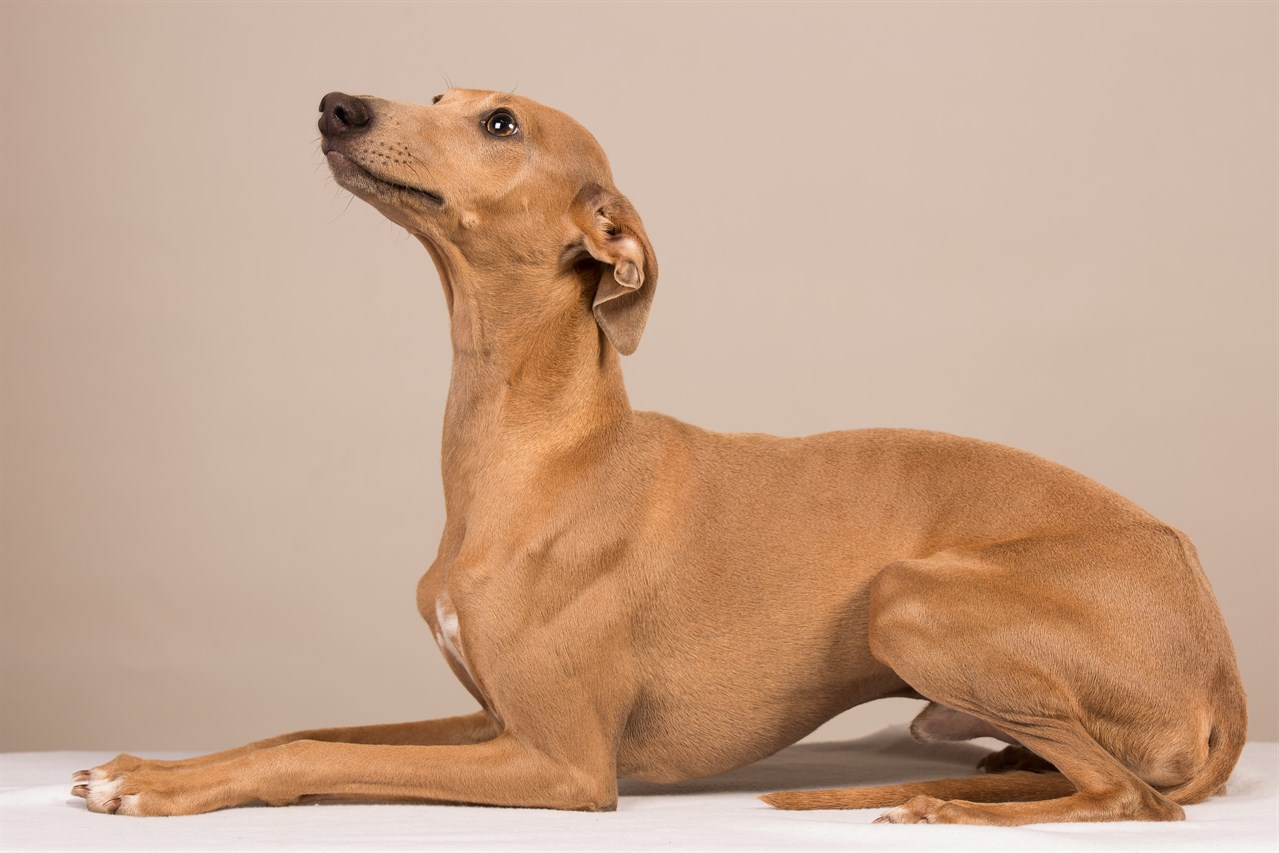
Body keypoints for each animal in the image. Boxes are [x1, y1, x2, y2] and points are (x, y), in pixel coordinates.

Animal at [72, 90, 1248, 823]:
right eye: (439, 94)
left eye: (499, 121)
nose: (337, 105)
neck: (538, 450)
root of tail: (1223, 671)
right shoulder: (490, 718)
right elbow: (312, 725)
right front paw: (142, 764)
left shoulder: (560, 762)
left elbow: (313, 751)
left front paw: (156, 790)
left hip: (908, 597)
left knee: (1128, 798)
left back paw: (933, 808)